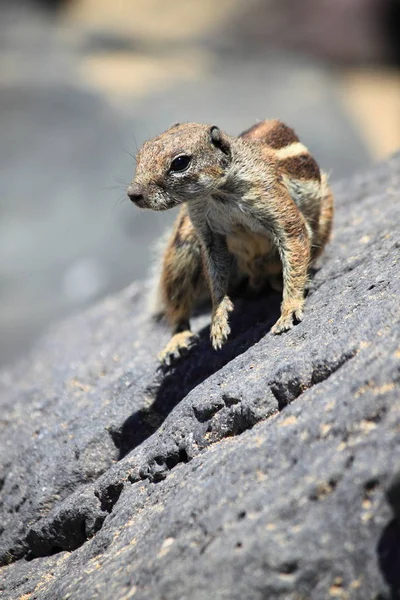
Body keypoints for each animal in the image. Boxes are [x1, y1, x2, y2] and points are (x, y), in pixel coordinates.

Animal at [128, 117, 334, 360]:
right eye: (141, 154)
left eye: (180, 163)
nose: (133, 193)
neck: (216, 193)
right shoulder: (204, 228)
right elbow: (215, 270)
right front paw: (218, 317)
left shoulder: (271, 197)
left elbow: (293, 234)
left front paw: (289, 309)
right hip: (181, 247)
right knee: (177, 302)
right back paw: (176, 342)